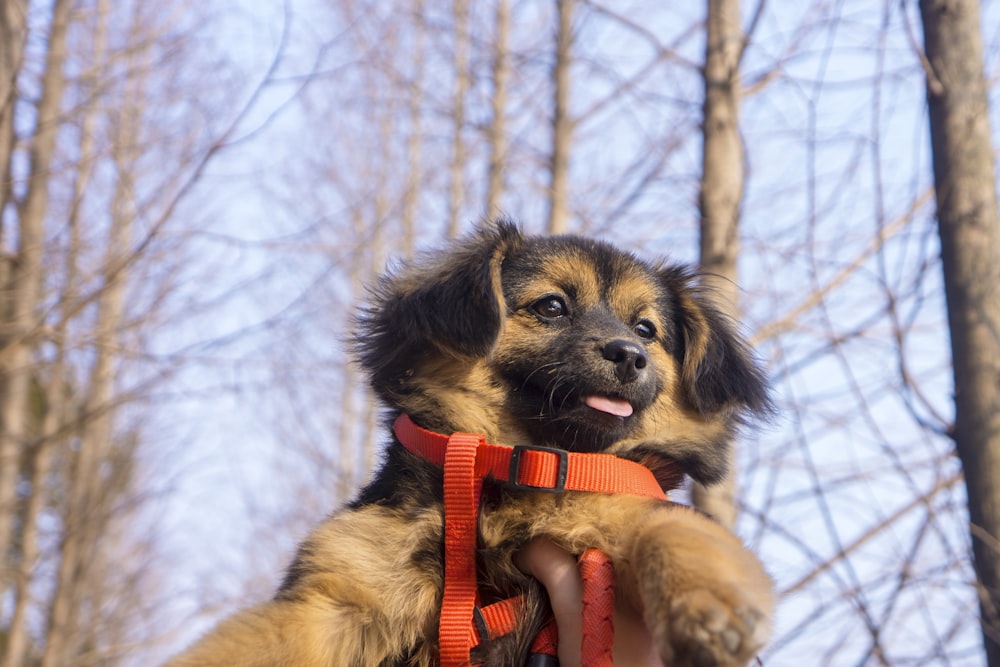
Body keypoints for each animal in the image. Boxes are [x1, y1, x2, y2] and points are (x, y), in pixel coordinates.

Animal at [172, 222, 776, 664]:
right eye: (552, 306)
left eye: (647, 330)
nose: (629, 355)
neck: (523, 466)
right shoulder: (336, 597)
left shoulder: (627, 516)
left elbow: (673, 533)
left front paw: (710, 612)